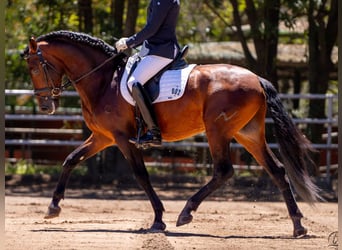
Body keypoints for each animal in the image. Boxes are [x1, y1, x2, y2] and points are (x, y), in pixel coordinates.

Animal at [22, 30, 320, 236]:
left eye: (36, 68)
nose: (45, 106)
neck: (104, 80)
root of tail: (255, 78)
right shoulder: (103, 137)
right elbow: (70, 159)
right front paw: (53, 207)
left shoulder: (122, 138)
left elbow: (141, 176)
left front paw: (158, 219)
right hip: (247, 133)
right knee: (277, 170)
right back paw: (297, 225)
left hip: (218, 131)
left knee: (224, 171)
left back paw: (186, 212)